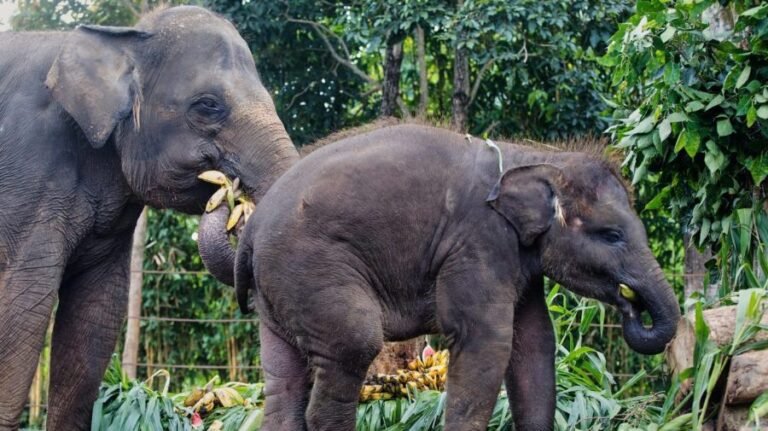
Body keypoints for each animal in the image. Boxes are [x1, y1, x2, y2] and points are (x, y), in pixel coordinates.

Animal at [0, 7, 299, 430]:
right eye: (208, 105)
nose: (230, 191)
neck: (122, 38)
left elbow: (97, 311)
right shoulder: (26, 178)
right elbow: (22, 302)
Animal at [199, 124, 681, 431]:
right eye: (613, 235)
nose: (630, 304)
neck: (536, 155)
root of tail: (251, 231)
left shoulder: (516, 259)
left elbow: (534, 344)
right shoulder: (477, 244)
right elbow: (488, 342)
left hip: (276, 290)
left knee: (283, 385)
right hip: (309, 269)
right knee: (353, 344)